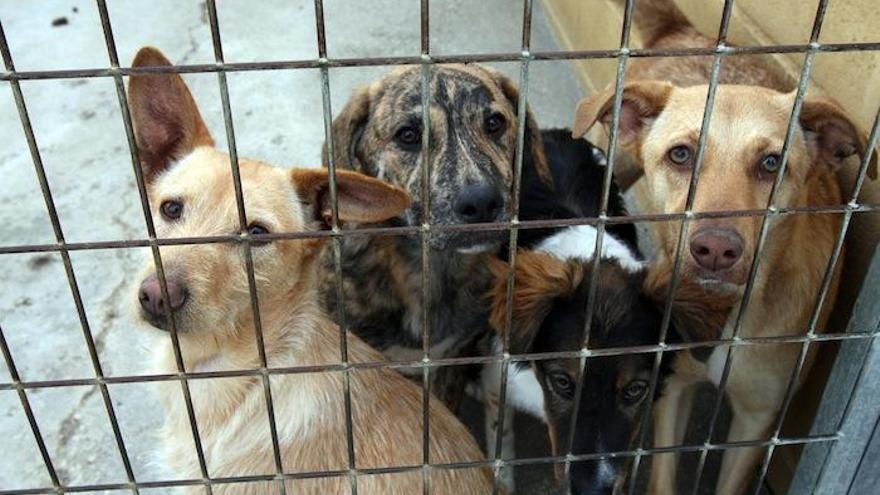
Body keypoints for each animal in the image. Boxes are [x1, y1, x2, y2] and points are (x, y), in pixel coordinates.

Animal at [576, 1, 876, 494]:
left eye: (772, 163)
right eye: (680, 155)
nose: (715, 250)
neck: (724, 314)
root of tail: (685, 32)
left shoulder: (756, 421)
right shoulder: (673, 389)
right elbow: (663, 475)